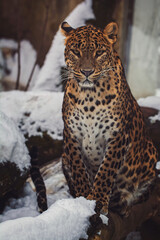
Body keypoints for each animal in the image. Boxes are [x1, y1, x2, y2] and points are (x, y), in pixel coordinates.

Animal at [60, 20, 158, 216]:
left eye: (99, 53)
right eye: (76, 52)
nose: (87, 72)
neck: (89, 97)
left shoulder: (117, 135)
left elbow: (106, 170)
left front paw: (98, 201)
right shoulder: (71, 133)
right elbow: (79, 169)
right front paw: (83, 198)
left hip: (150, 152)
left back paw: (123, 202)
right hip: (63, 156)